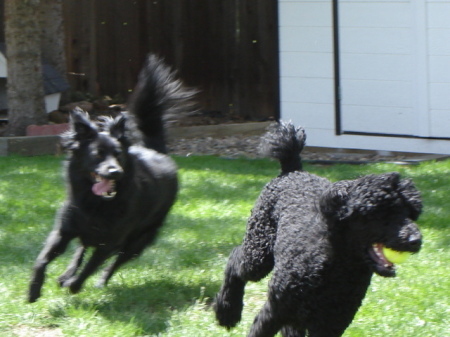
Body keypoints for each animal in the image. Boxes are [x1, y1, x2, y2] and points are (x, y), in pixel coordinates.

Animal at [28, 55, 193, 302]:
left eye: (119, 155)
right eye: (97, 155)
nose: (115, 172)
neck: (96, 203)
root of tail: (157, 151)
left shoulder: (111, 242)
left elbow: (90, 267)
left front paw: (74, 286)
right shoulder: (63, 231)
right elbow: (42, 259)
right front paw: (34, 289)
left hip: (139, 239)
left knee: (113, 262)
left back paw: (96, 281)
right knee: (81, 249)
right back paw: (66, 274)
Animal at [214, 121, 422, 336]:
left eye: (409, 212)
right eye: (378, 213)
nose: (415, 240)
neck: (336, 265)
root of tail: (293, 170)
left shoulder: (331, 323)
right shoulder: (276, 309)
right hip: (259, 251)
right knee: (235, 259)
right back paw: (227, 311)